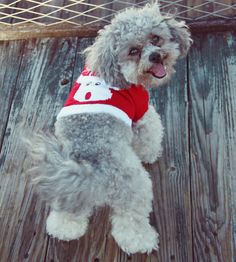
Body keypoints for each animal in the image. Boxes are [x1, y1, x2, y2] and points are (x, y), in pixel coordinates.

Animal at [25, 1, 192, 254]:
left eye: (155, 37)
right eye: (133, 51)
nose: (155, 55)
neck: (114, 71)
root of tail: (89, 168)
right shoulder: (142, 113)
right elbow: (150, 134)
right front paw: (151, 154)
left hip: (67, 187)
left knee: (69, 208)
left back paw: (63, 230)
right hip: (134, 188)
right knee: (130, 223)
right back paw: (142, 242)